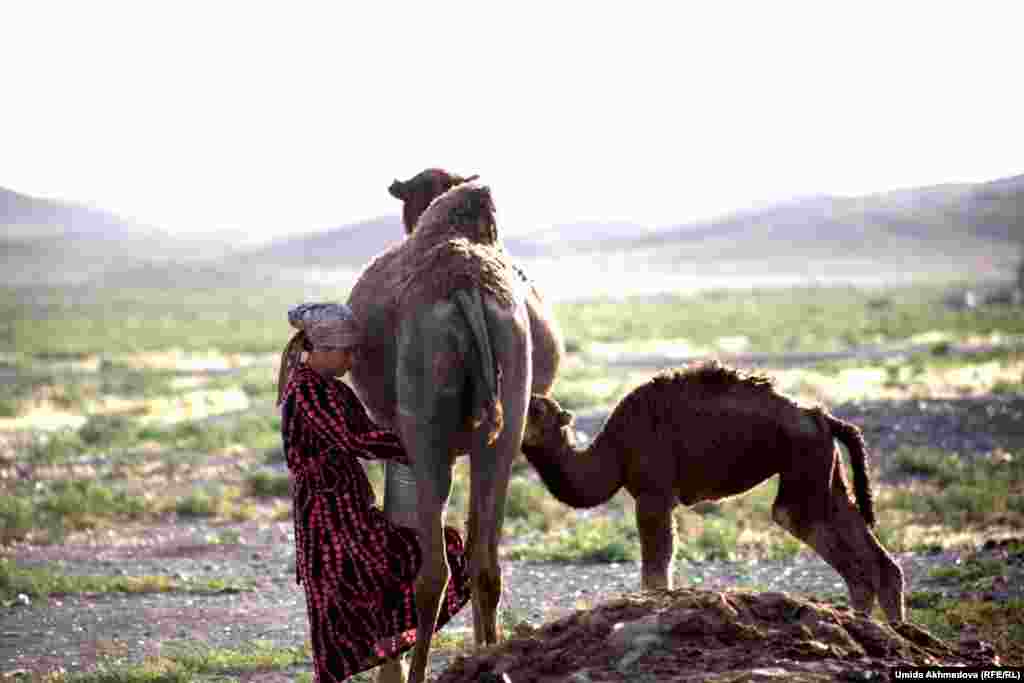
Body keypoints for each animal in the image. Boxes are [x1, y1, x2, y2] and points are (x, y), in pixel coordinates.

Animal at [348, 181, 532, 683]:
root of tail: (467, 289)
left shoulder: (398, 436)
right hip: (506, 423)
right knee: (485, 560)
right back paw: (490, 658)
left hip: (428, 429)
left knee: (434, 572)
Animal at [524, 362, 909, 626]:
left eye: (538, 410)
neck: (614, 451)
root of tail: (824, 418)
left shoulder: (653, 494)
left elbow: (656, 568)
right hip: (824, 465)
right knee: (861, 538)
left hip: (805, 458)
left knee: (796, 518)